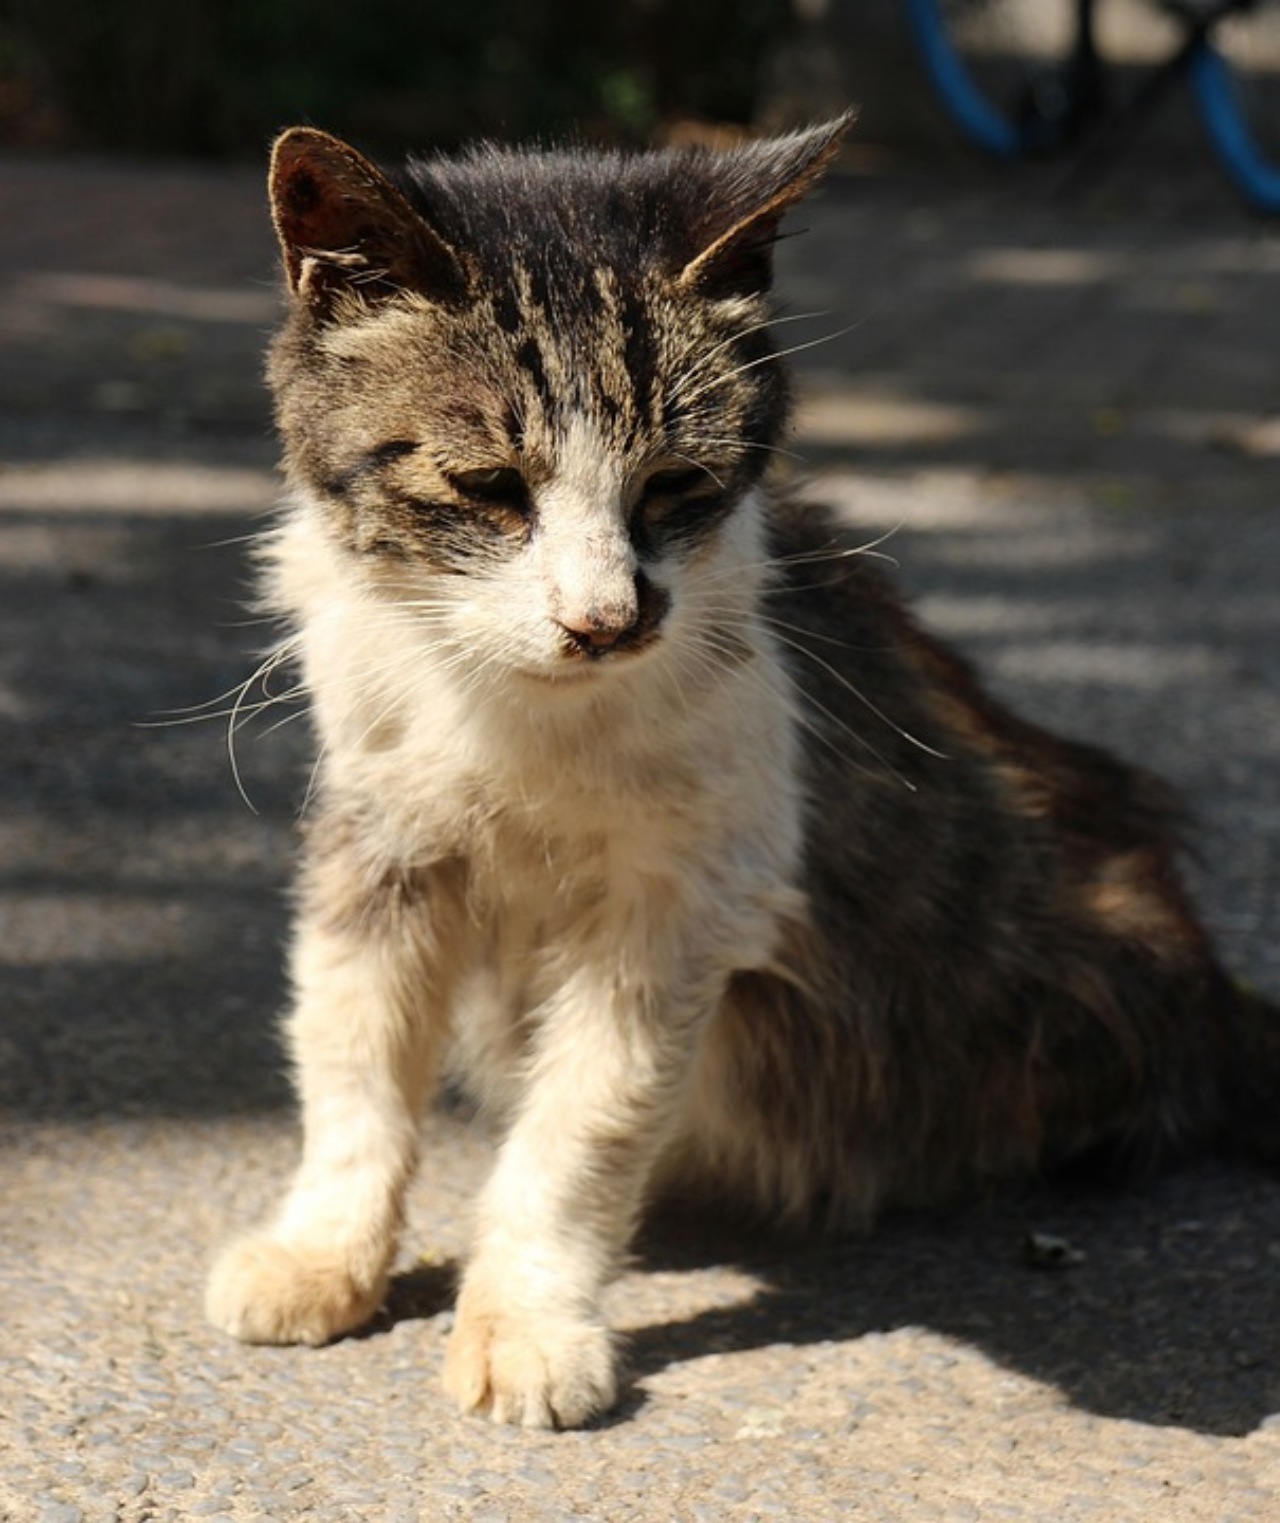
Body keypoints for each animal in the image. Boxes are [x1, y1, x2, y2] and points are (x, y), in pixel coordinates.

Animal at [205, 115, 1273, 1425]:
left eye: (674, 481)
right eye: (487, 486)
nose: (604, 621)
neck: (529, 719)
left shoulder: (687, 898)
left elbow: (583, 1124)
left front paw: (527, 1318)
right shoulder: (378, 842)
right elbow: (350, 1059)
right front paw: (322, 1252)